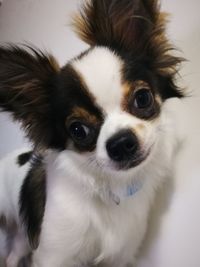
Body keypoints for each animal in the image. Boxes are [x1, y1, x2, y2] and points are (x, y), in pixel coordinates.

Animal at [0, 0, 184, 267]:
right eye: (78, 130)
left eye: (143, 98)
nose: (121, 142)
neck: (110, 187)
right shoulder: (53, 255)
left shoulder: (119, 256)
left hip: (24, 236)